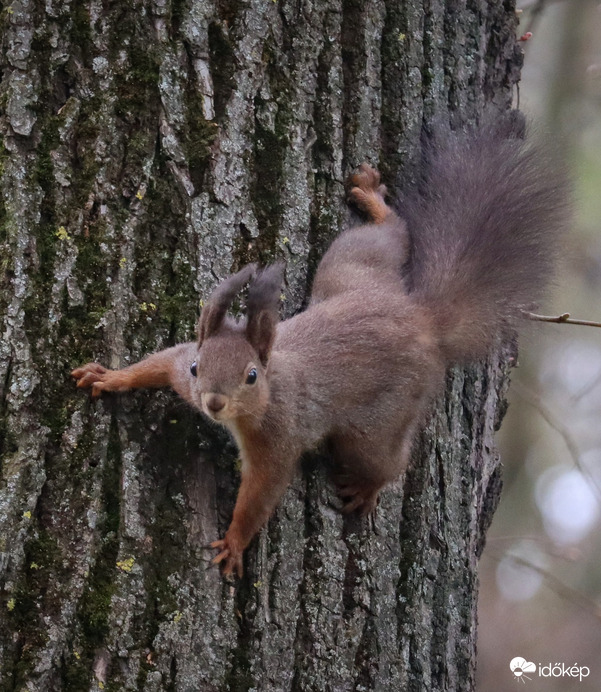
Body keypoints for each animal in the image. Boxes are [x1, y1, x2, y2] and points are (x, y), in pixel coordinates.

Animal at [71, 119, 568, 580]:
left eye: (251, 376)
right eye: (196, 368)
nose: (212, 403)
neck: (264, 391)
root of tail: (422, 319)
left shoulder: (277, 437)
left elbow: (261, 494)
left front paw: (233, 542)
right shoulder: (177, 367)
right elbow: (154, 364)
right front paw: (109, 377)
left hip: (377, 422)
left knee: (388, 459)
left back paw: (367, 488)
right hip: (350, 270)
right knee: (388, 235)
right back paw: (372, 199)